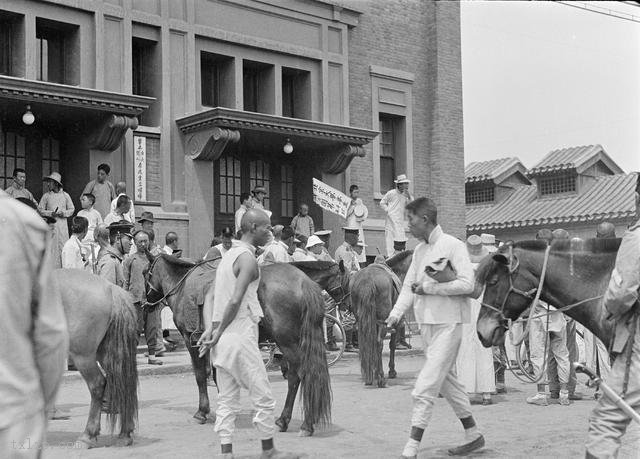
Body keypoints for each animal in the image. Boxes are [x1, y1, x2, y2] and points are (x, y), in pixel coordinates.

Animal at [51, 270, 139, 450]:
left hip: (83, 355)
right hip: (107, 354)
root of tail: (111, 287)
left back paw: (88, 436)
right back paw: (125, 434)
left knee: (97, 384)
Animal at [144, 255, 332, 438]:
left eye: (146, 272)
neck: (183, 286)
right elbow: (215, 375)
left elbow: (200, 376)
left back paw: (302, 423)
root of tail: (304, 282)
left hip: (287, 342)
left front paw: (202, 412)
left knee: (299, 374)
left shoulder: (191, 340)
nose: (144, 304)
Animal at [350, 252, 416, 388]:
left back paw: (369, 376)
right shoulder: (395, 324)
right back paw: (380, 378)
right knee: (378, 343)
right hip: (383, 322)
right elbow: (391, 345)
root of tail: (367, 281)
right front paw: (391, 371)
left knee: (367, 343)